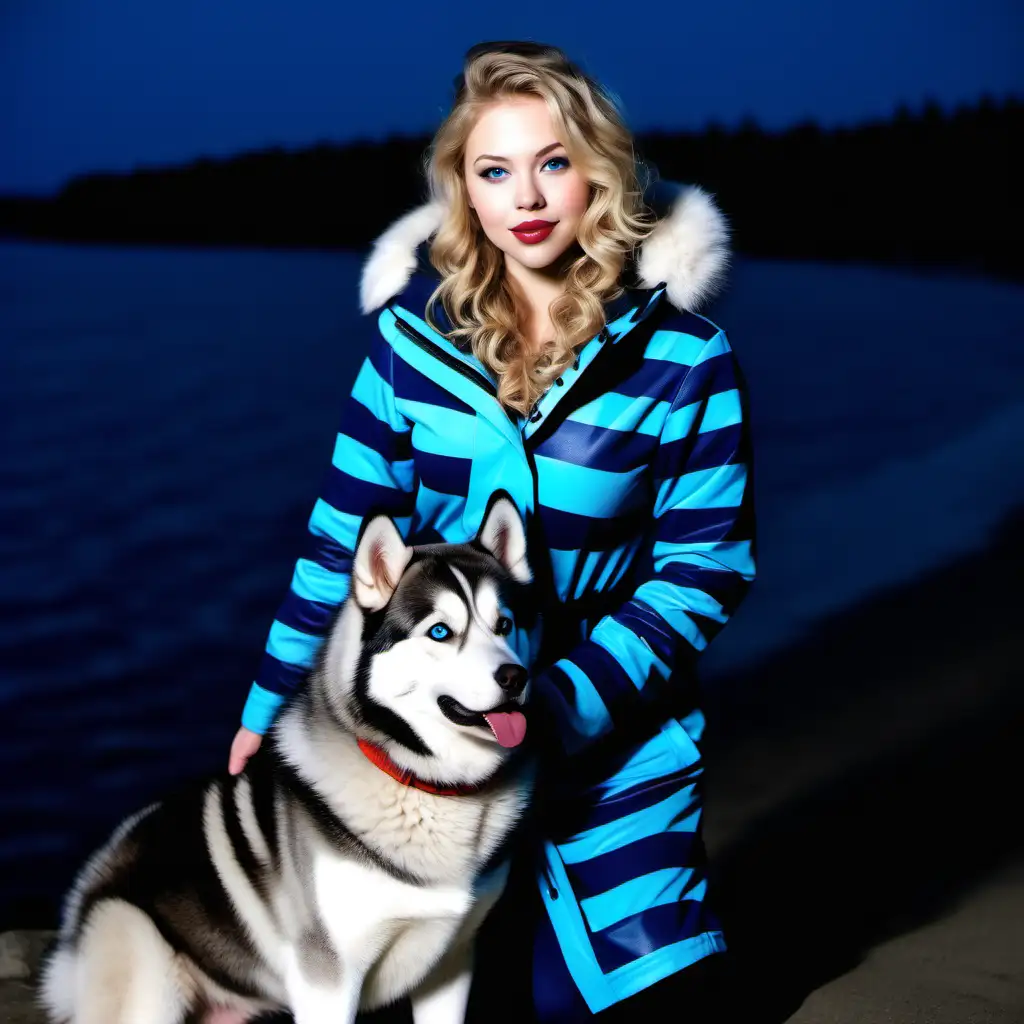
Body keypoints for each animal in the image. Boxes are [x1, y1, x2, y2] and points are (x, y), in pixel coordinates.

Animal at [39, 493, 536, 1015]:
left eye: (504, 625)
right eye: (440, 632)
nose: (514, 677)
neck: (425, 784)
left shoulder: (450, 966)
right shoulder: (329, 980)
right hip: (144, 970)